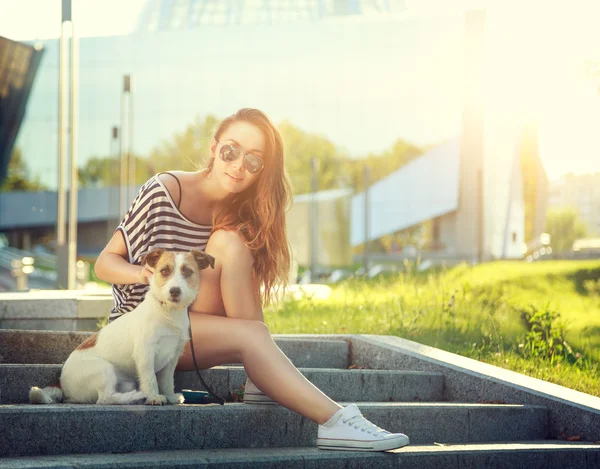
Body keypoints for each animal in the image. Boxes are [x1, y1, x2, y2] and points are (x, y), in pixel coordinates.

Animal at [29, 249, 216, 406]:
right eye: (164, 271)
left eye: (187, 271)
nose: (174, 291)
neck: (167, 311)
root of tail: (61, 382)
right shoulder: (145, 353)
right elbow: (150, 378)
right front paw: (153, 397)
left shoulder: (172, 357)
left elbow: (167, 380)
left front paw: (169, 396)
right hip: (103, 369)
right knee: (105, 399)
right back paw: (135, 396)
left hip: (124, 381)